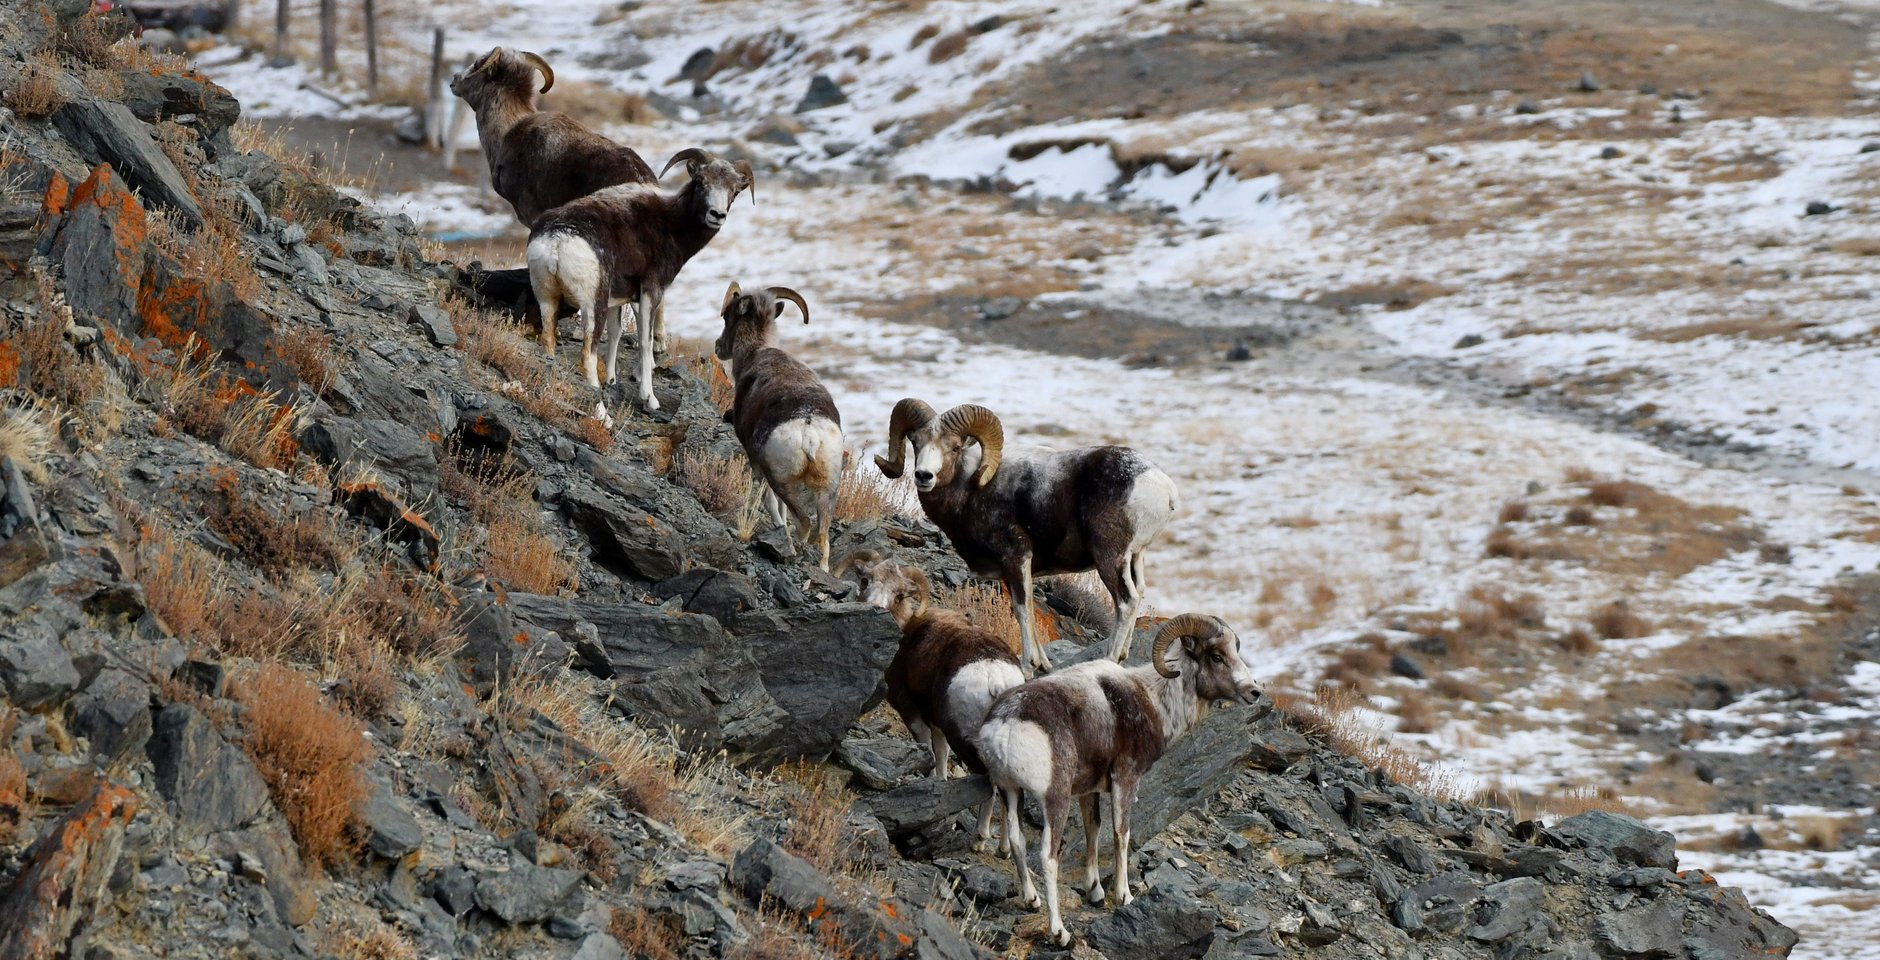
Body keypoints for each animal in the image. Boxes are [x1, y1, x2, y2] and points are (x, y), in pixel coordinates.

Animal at [526, 149, 752, 417]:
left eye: (734, 191)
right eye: (700, 182)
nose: (717, 215)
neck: (669, 224)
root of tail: (557, 240)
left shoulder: (617, 299)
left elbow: (616, 333)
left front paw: (612, 379)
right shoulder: (650, 293)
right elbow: (645, 341)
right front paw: (649, 399)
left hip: (547, 299)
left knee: (548, 340)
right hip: (593, 305)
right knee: (587, 355)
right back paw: (602, 414)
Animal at [714, 281, 842, 567]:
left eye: (727, 317)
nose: (718, 347)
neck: (755, 353)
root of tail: (808, 430)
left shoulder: (755, 462)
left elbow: (772, 504)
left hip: (780, 478)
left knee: (802, 521)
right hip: (828, 488)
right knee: (823, 538)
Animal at [868, 400, 1165, 676]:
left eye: (954, 447)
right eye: (915, 442)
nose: (924, 476)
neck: (971, 490)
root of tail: (1163, 488)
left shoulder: (1016, 557)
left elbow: (1022, 609)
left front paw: (1027, 666)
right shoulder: (1013, 571)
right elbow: (1029, 609)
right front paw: (1043, 664)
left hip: (1109, 557)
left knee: (1126, 601)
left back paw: (1110, 659)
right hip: (1133, 558)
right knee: (1138, 592)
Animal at [985, 616, 1263, 946]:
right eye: (1217, 656)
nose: (1254, 692)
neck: (1154, 701)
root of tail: (1007, 728)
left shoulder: (1088, 790)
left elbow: (1093, 828)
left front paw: (1095, 892)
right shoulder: (1125, 779)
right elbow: (1121, 834)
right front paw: (1124, 896)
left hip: (1010, 791)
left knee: (1016, 840)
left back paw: (1031, 900)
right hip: (1055, 799)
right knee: (1048, 857)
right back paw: (1060, 933)